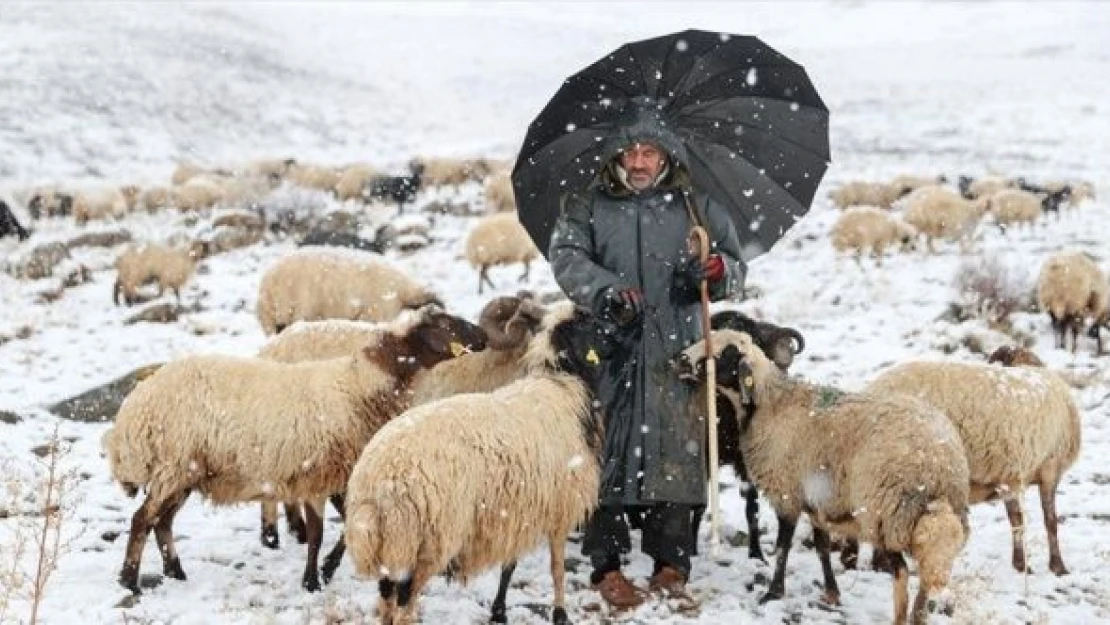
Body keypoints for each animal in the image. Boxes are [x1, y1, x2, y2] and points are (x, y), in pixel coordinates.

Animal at [103, 308, 486, 595]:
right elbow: (317, 533)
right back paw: (129, 581)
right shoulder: (317, 474)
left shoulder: (338, 475)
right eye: (445, 323)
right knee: (143, 520)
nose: (483, 336)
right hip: (174, 465)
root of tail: (132, 411)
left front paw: (327, 570)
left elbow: (348, 526)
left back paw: (175, 572)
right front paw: (312, 580)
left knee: (162, 522)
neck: (360, 385)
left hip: (184, 472)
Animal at [674, 330, 972, 621]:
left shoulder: (787, 494)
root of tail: (939, 464)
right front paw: (832, 593)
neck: (768, 406)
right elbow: (822, 547)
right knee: (924, 578)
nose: (681, 359)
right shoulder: (816, 502)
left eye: (722, 352)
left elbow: (783, 547)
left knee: (901, 574)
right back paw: (918, 615)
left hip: (886, 514)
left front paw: (773, 593)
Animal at [865, 357, 1083, 577]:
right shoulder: (1049, 467)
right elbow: (1050, 521)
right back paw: (885, 565)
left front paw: (1021, 564)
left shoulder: (1009, 476)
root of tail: (875, 387)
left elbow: (1017, 521)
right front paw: (1057, 567)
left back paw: (882, 565)